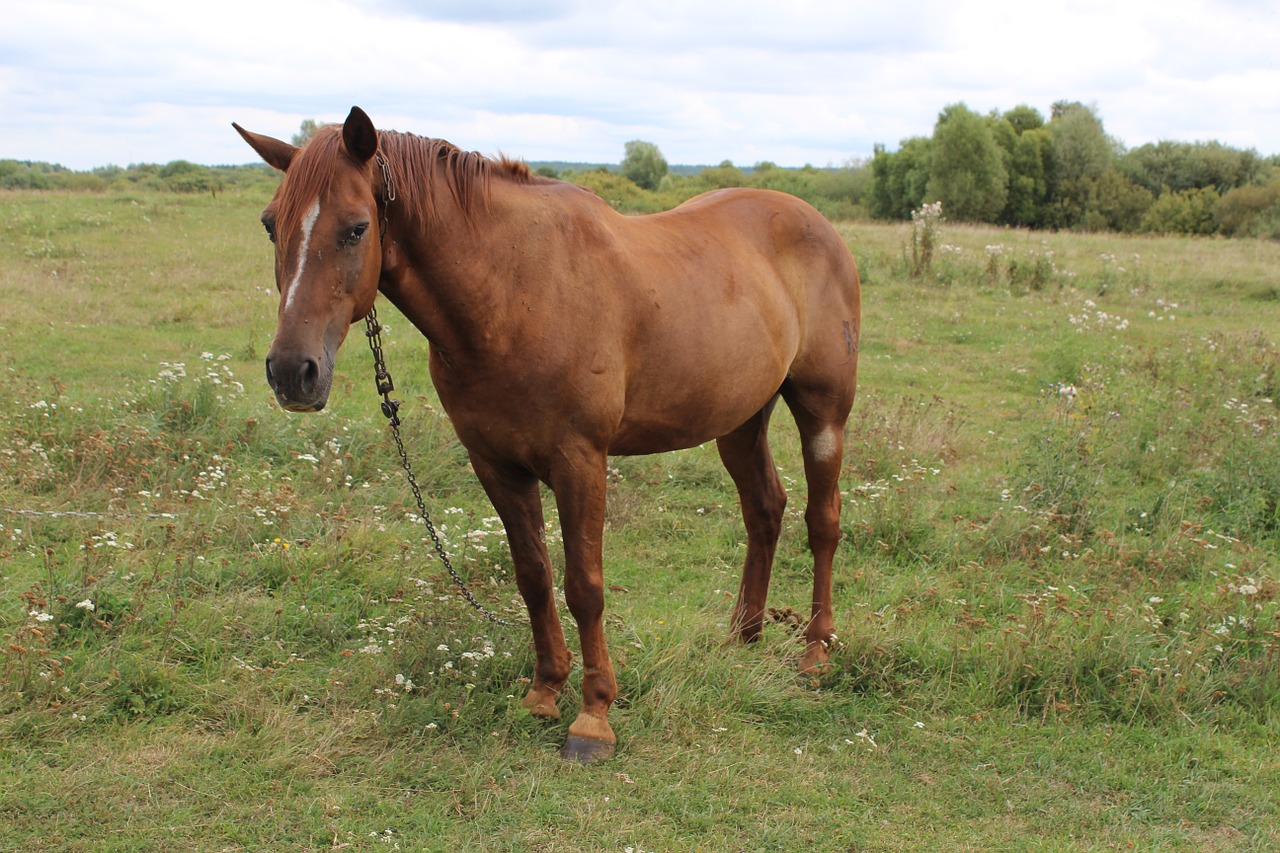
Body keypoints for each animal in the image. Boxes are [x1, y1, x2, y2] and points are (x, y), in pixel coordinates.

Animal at [235, 106, 865, 763]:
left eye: (357, 228)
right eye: (271, 226)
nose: (292, 371)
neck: (515, 292)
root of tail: (817, 224)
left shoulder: (579, 461)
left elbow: (583, 585)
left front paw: (593, 717)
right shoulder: (495, 464)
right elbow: (533, 577)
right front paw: (543, 692)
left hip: (823, 412)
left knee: (823, 521)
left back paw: (816, 650)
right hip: (739, 420)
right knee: (764, 509)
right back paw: (743, 636)